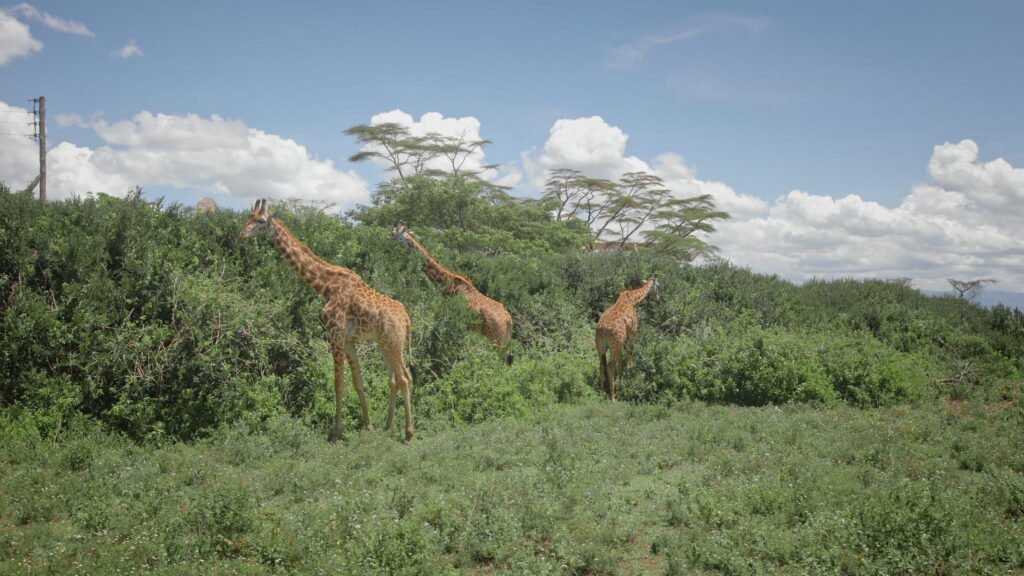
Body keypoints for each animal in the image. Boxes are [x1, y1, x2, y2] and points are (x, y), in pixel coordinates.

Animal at [240, 199, 415, 442]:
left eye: (261, 221)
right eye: (249, 216)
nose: (241, 235)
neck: (326, 286)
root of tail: (406, 318)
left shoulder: (335, 334)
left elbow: (338, 383)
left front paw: (336, 432)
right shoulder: (349, 340)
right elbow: (358, 382)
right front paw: (369, 426)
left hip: (394, 342)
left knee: (405, 378)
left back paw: (408, 433)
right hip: (384, 344)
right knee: (396, 379)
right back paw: (387, 427)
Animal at [388, 224, 514, 365]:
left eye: (394, 234)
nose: (387, 239)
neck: (448, 283)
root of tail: (508, 320)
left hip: (496, 340)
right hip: (504, 340)